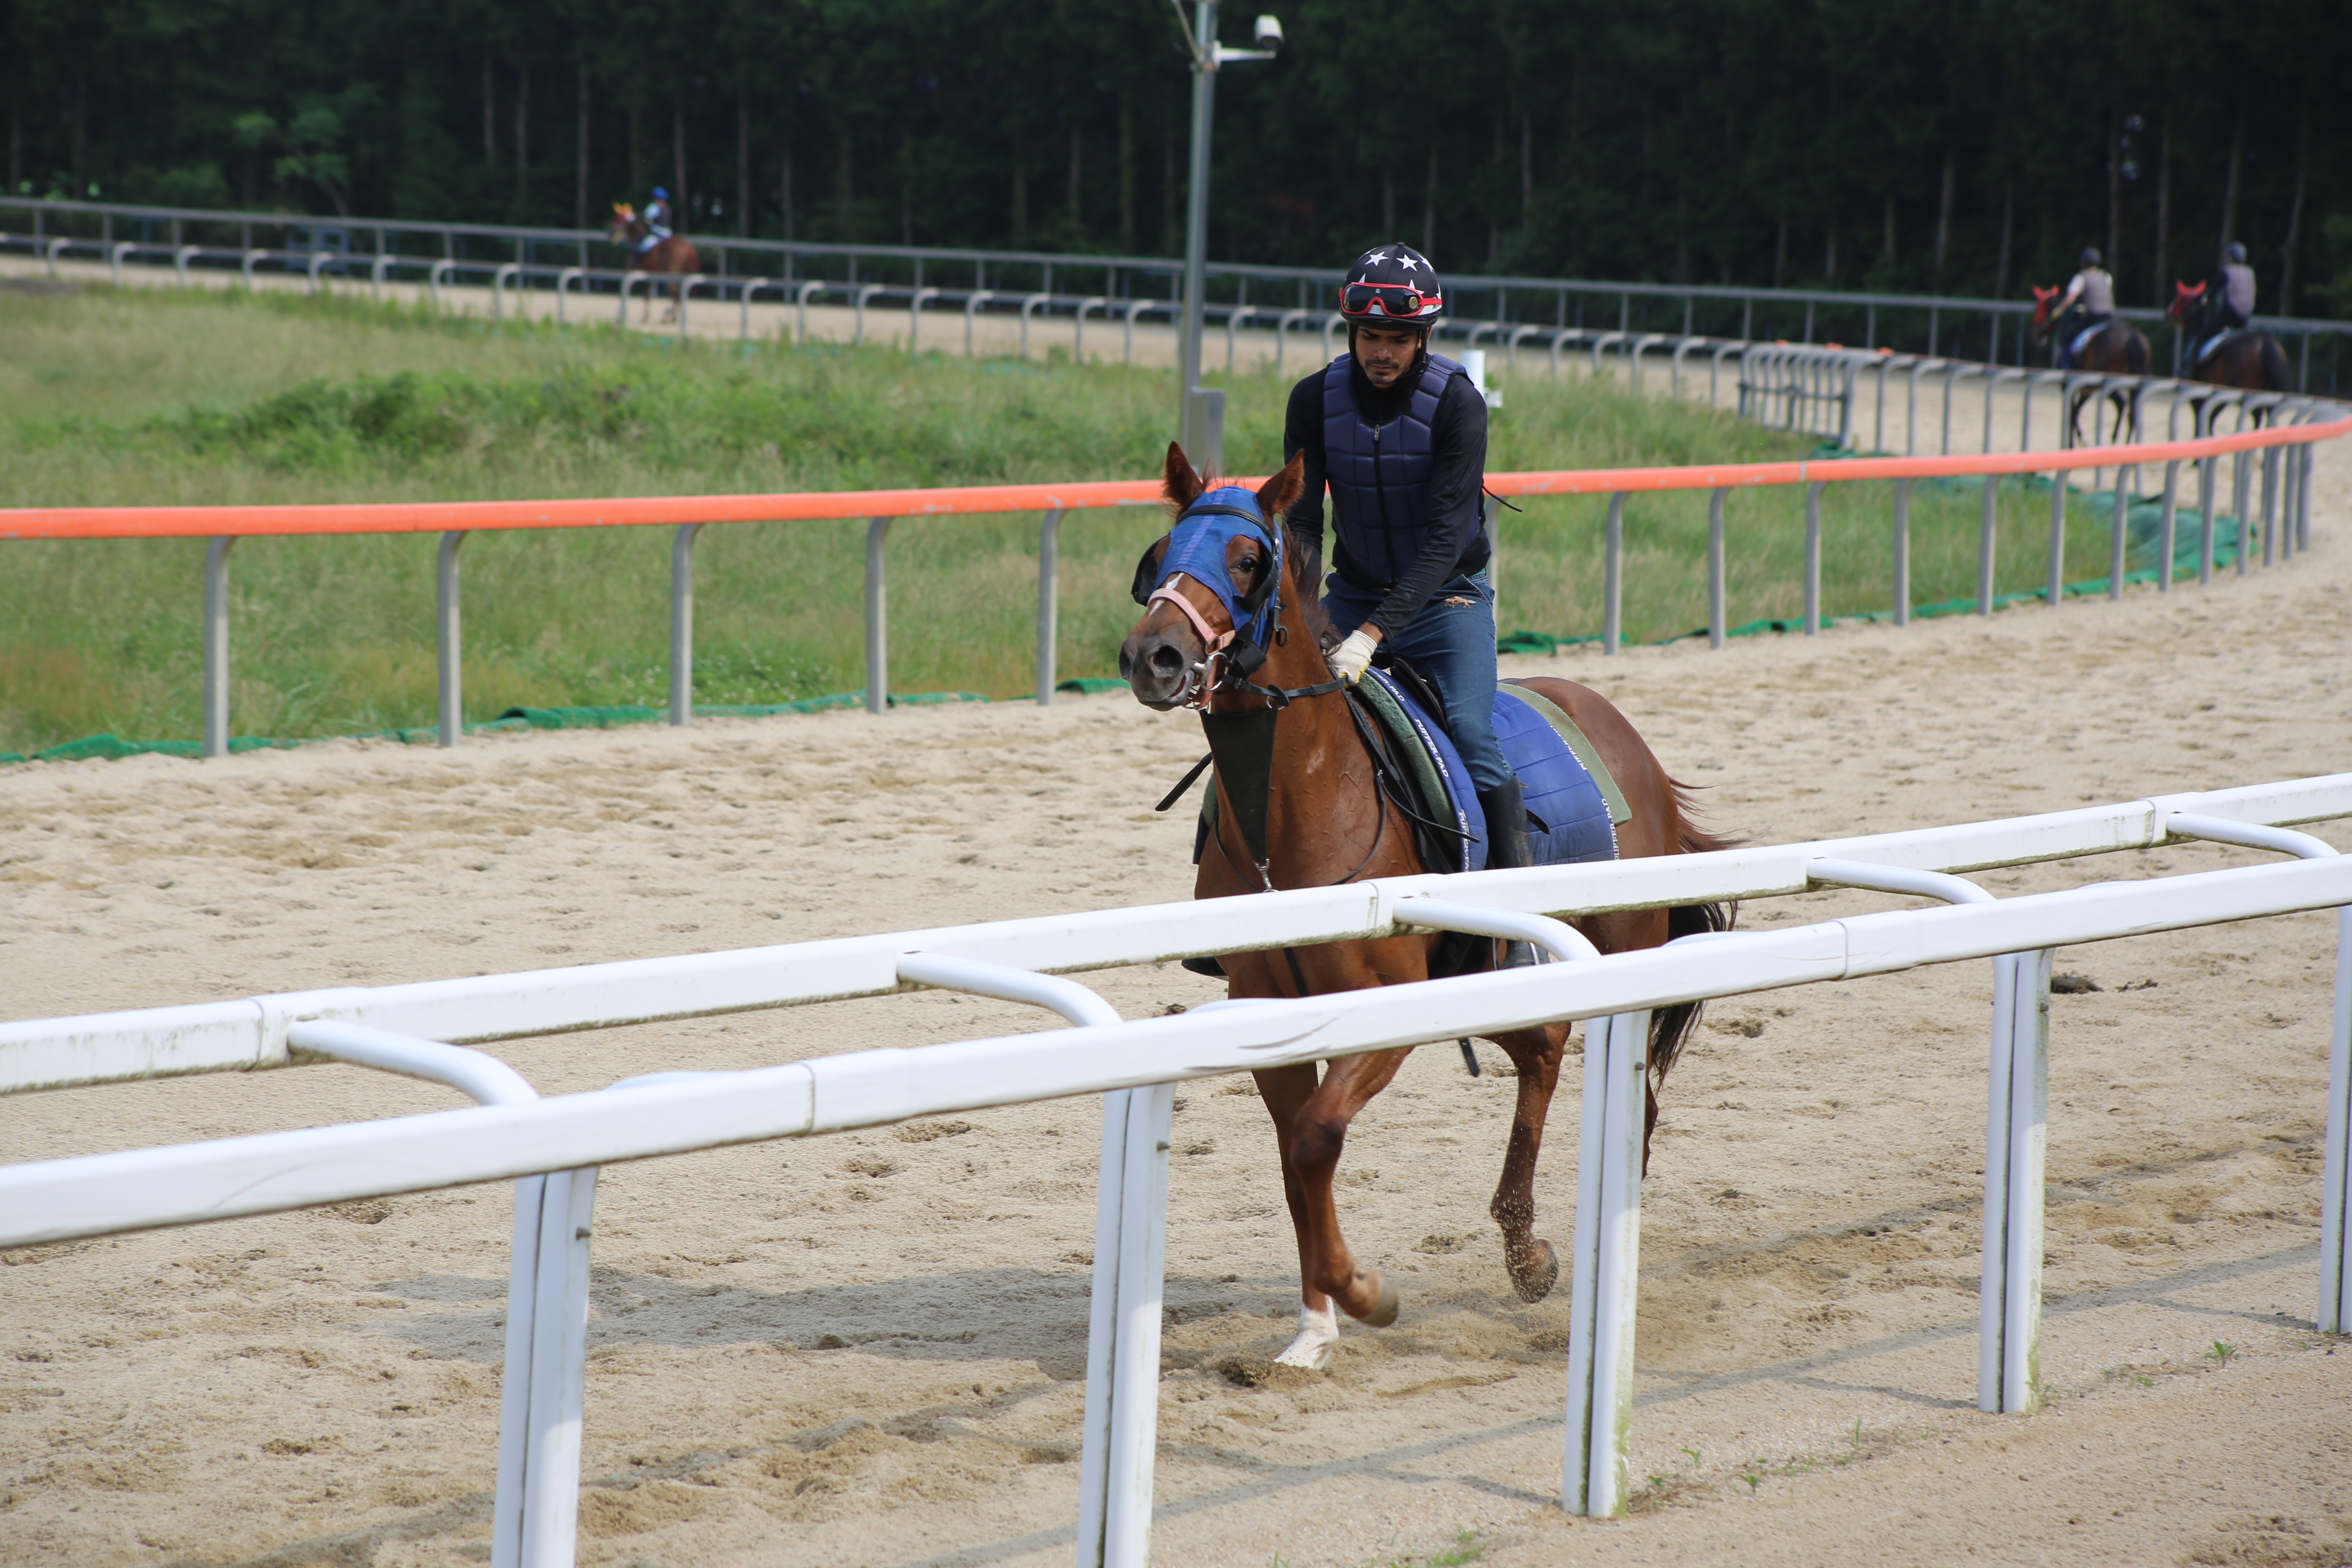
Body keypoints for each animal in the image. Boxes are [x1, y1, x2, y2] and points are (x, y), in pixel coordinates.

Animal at [607, 202, 696, 324]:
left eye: (618, 218)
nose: (610, 230)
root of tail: (688, 247)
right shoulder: (650, 275)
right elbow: (647, 294)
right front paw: (645, 317)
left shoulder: (632, 271)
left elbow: (632, 291)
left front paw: (620, 316)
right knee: (679, 295)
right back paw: (673, 316)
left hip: (671, 274)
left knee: (675, 293)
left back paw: (670, 317)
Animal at [1119, 444, 1731, 1373]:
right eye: (1159, 555)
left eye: (1248, 560)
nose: (1152, 655)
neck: (1293, 823)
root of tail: (1630, 741)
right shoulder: (1267, 1012)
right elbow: (1296, 1162)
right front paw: (1314, 1331)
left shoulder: (1388, 1008)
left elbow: (1317, 1139)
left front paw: (1365, 1293)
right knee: (1541, 1054)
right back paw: (1526, 1251)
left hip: (1618, 954)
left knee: (1627, 1099)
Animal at [2022, 285, 2154, 446]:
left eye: (2037, 309)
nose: (2036, 335)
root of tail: (2132, 337)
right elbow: (2076, 411)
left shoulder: (2073, 385)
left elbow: (2073, 412)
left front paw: (2076, 442)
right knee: (2129, 412)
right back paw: (2122, 443)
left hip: (2099, 382)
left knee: (2117, 406)